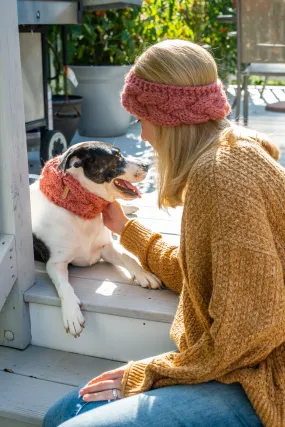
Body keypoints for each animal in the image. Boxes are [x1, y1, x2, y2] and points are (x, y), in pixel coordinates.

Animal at [30, 143, 162, 338]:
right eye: (117, 156)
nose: (146, 164)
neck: (83, 214)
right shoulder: (55, 263)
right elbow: (64, 286)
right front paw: (71, 313)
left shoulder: (105, 248)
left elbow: (128, 257)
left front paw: (144, 274)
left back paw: (129, 208)